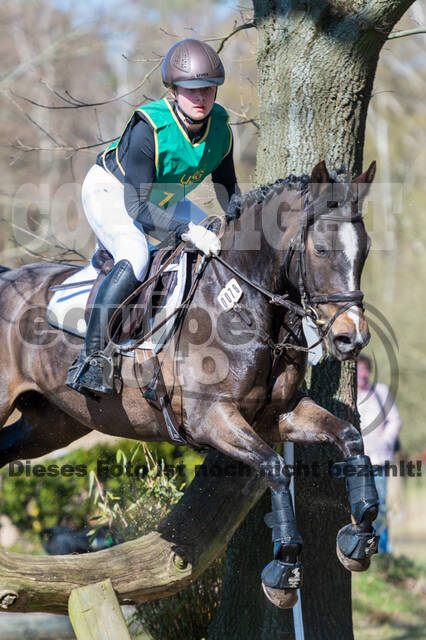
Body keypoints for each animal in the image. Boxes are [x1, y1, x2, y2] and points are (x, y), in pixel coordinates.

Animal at [0, 159, 380, 604]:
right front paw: (284, 568)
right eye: (321, 249)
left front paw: (359, 537)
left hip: (51, 423)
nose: (352, 338)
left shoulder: (281, 415)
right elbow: (275, 467)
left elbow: (350, 437)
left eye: (365, 249)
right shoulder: (211, 418)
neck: (241, 305)